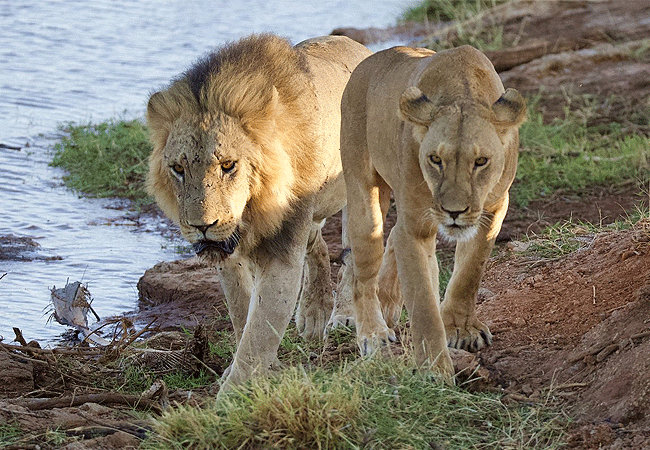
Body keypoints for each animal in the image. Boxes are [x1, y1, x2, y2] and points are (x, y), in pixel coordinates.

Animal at [146, 34, 370, 390]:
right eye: (178, 169)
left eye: (228, 165)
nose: (202, 226)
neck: (252, 212)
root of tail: (356, 44)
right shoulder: (229, 256)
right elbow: (244, 317)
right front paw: (258, 370)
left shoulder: (282, 251)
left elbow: (259, 331)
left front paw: (234, 392)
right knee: (317, 244)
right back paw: (314, 312)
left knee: (351, 255)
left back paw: (342, 314)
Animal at [340, 45, 528, 376]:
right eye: (435, 160)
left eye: (481, 161)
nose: (455, 212)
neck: (463, 92)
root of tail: (368, 61)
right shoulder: (415, 227)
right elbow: (423, 303)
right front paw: (433, 368)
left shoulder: (492, 209)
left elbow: (470, 272)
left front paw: (461, 329)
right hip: (363, 194)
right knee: (363, 273)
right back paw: (373, 334)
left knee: (394, 239)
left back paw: (388, 305)